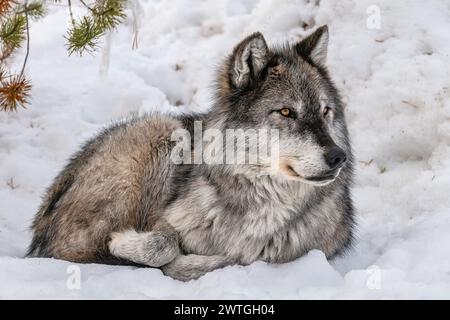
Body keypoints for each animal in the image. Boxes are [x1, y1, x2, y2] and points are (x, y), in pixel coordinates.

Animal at [27, 26, 356, 282]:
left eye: (325, 111)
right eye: (286, 112)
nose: (338, 157)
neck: (261, 203)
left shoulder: (292, 254)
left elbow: (229, 258)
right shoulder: (166, 220)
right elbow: (164, 245)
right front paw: (124, 243)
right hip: (163, 131)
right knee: (73, 250)